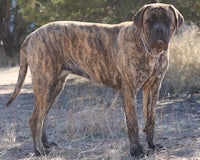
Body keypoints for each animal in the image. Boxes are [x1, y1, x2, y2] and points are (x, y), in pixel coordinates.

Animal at [7, 2, 183, 157]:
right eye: (149, 21)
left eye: (167, 20)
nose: (159, 30)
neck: (150, 51)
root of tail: (31, 35)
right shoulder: (129, 89)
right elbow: (133, 124)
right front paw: (136, 150)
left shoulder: (153, 87)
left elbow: (150, 120)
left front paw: (152, 146)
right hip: (45, 84)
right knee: (36, 119)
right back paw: (39, 151)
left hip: (55, 87)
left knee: (43, 116)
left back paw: (46, 144)